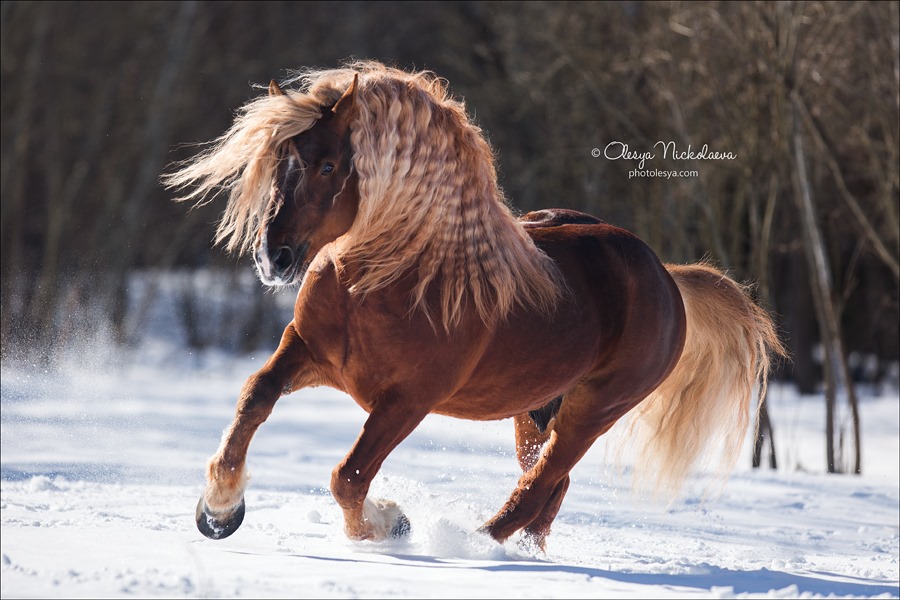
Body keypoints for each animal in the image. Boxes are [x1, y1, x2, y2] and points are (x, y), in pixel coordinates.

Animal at [165, 61, 784, 548]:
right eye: (278, 160)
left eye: (327, 165)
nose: (275, 257)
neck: (383, 281)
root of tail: (666, 276)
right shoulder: (309, 352)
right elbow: (255, 398)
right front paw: (219, 510)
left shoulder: (408, 400)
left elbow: (349, 475)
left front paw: (388, 526)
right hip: (535, 412)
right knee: (549, 489)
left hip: (594, 411)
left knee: (538, 488)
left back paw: (470, 544)